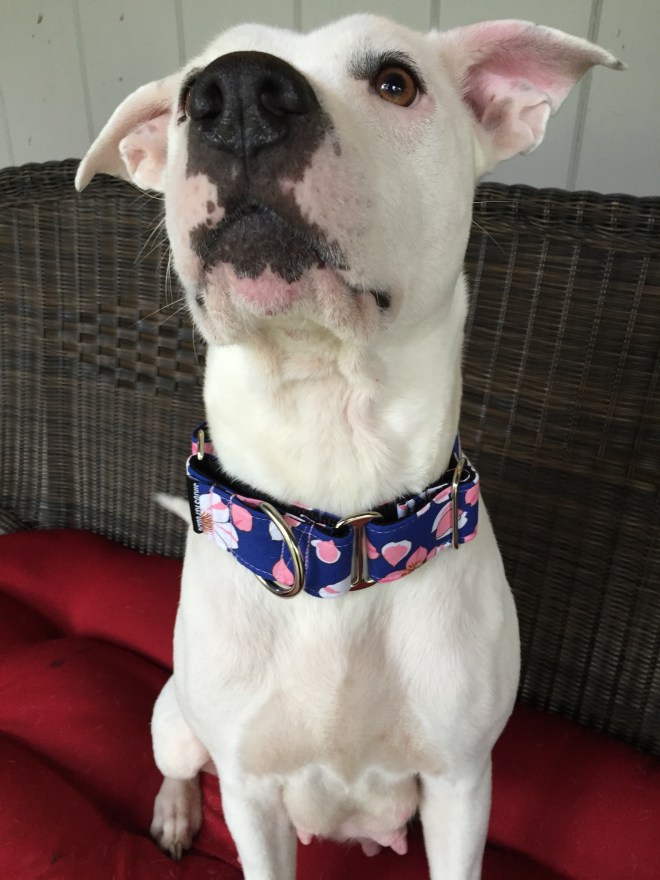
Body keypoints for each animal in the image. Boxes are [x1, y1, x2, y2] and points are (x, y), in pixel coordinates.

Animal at [76, 14, 622, 879]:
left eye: (396, 81)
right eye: (191, 89)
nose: (236, 96)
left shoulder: (462, 786)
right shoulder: (251, 796)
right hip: (173, 720)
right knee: (177, 764)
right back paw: (172, 812)